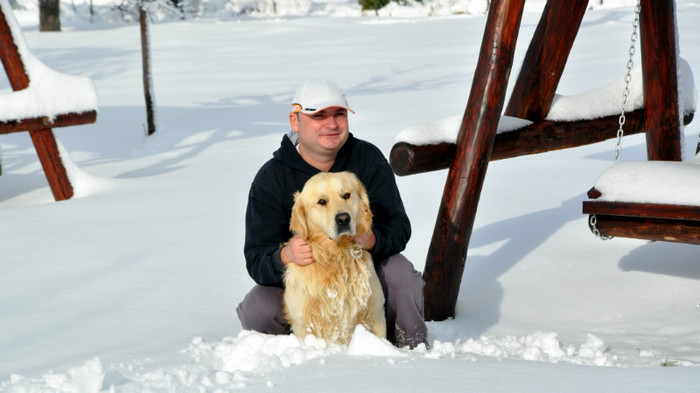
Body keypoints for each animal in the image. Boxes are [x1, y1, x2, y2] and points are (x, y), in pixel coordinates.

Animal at [282, 171, 386, 344]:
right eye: (321, 202)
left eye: (346, 195)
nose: (343, 219)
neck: (336, 255)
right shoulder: (305, 322)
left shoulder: (374, 313)